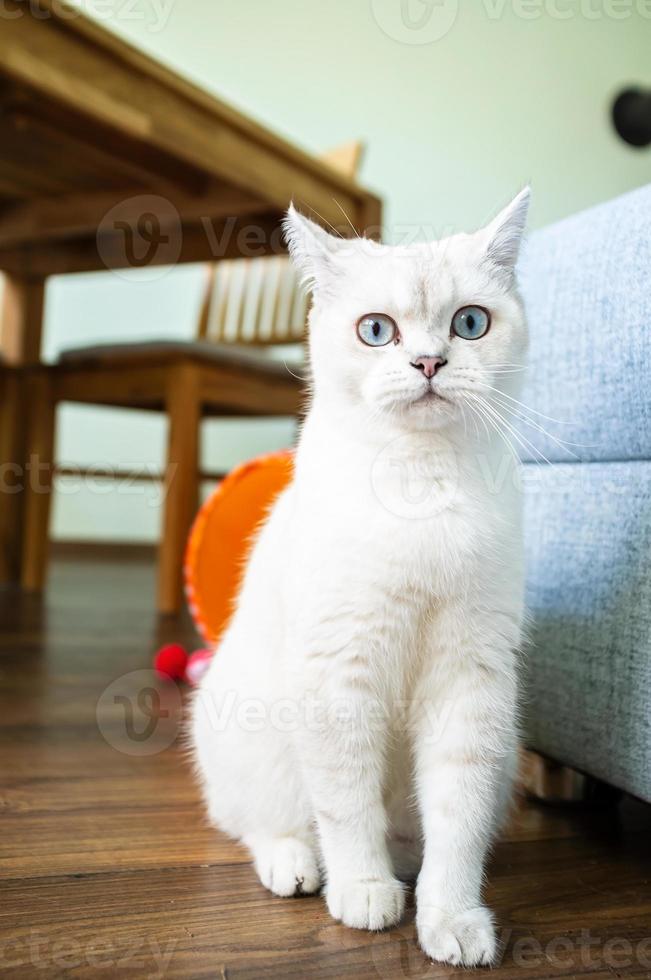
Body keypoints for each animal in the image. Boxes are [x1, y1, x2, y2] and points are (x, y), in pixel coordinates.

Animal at [191, 189, 532, 964]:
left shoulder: (470, 680)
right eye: (376, 331)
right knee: (263, 822)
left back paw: (405, 858)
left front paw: (449, 918)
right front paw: (364, 891)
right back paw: (297, 866)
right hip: (248, 733)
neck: (422, 484)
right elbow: (346, 803)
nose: (430, 361)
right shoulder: (339, 669)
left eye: (470, 323)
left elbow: (458, 819)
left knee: (414, 831)